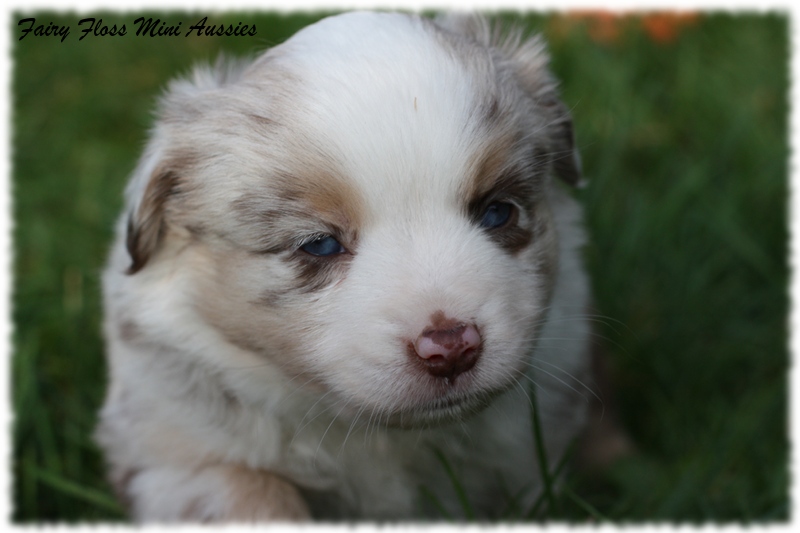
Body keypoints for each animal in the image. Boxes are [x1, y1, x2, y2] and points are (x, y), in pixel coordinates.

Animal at [97, 11, 592, 520]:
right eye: (319, 244)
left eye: (497, 212)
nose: (452, 348)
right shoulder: (179, 455)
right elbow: (253, 495)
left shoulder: (529, 453)